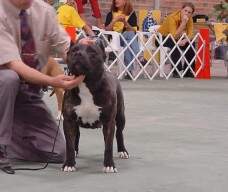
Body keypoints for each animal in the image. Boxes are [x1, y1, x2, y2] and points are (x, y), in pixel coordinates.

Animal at [61, 38, 129, 173]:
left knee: (119, 133)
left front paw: (109, 165)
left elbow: (108, 146)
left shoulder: (109, 122)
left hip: (120, 116)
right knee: (77, 135)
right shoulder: (69, 121)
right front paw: (69, 164)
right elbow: (69, 144)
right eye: (74, 50)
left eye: (92, 52)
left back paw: (122, 150)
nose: (78, 54)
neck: (86, 84)